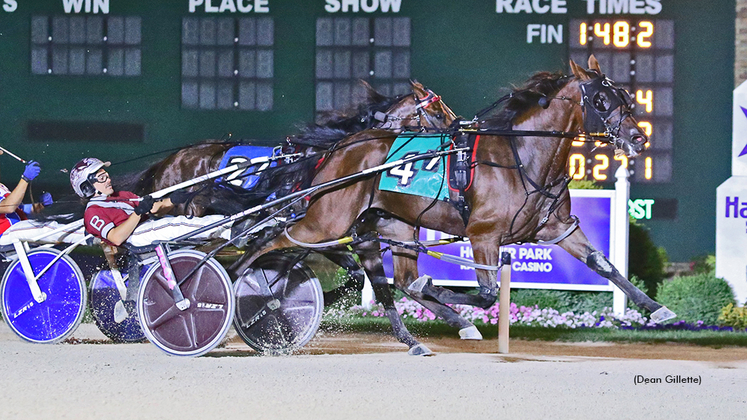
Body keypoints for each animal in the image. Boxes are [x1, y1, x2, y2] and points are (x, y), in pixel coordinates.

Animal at [234, 57, 676, 356]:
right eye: (600, 99)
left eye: (626, 96)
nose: (638, 138)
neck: (523, 156)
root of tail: (341, 147)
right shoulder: (484, 235)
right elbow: (484, 294)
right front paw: (456, 309)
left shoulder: (556, 227)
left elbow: (604, 265)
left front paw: (657, 310)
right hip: (325, 221)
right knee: (265, 242)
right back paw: (231, 284)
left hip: (391, 224)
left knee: (394, 279)